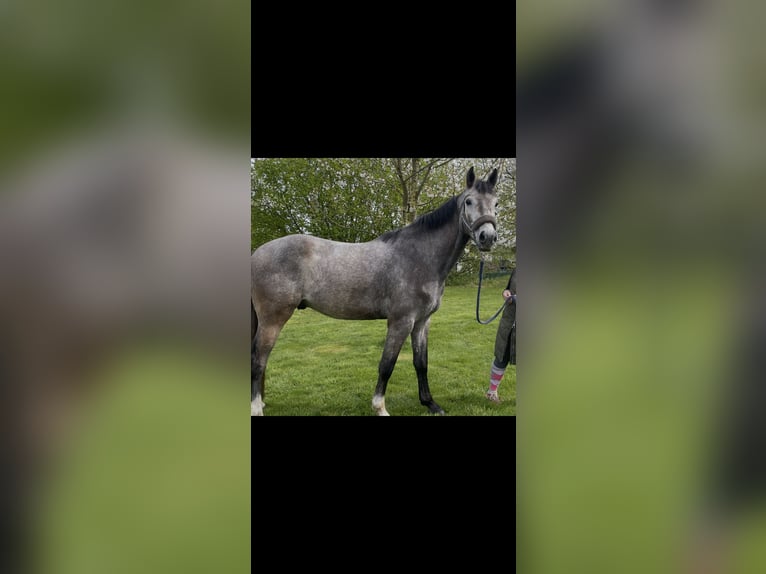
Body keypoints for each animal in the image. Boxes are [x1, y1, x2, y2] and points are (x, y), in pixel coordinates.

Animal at [251, 166, 500, 416]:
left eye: (496, 203)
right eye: (468, 201)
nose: (487, 237)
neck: (419, 256)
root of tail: (256, 253)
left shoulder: (422, 322)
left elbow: (421, 363)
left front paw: (430, 404)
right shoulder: (401, 322)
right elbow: (387, 365)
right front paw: (380, 407)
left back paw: (260, 402)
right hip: (273, 318)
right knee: (258, 358)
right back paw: (256, 408)